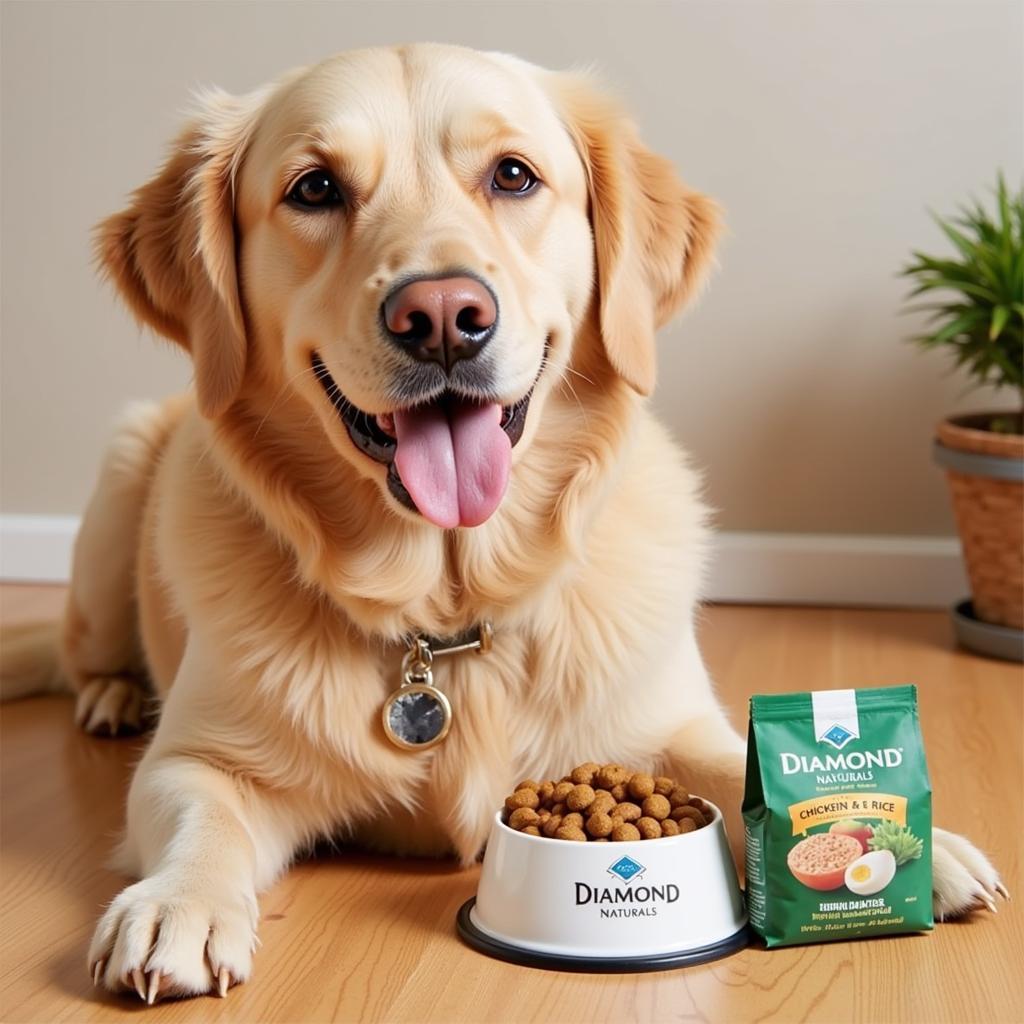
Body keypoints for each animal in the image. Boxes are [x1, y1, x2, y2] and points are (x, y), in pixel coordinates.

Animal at [2, 46, 1007, 999]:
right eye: (315, 188)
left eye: (513, 176)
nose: (444, 316)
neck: (448, 617)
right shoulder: (200, 759)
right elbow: (200, 817)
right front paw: (177, 906)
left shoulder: (669, 722)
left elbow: (737, 772)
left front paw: (925, 852)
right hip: (123, 476)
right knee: (84, 650)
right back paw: (111, 695)